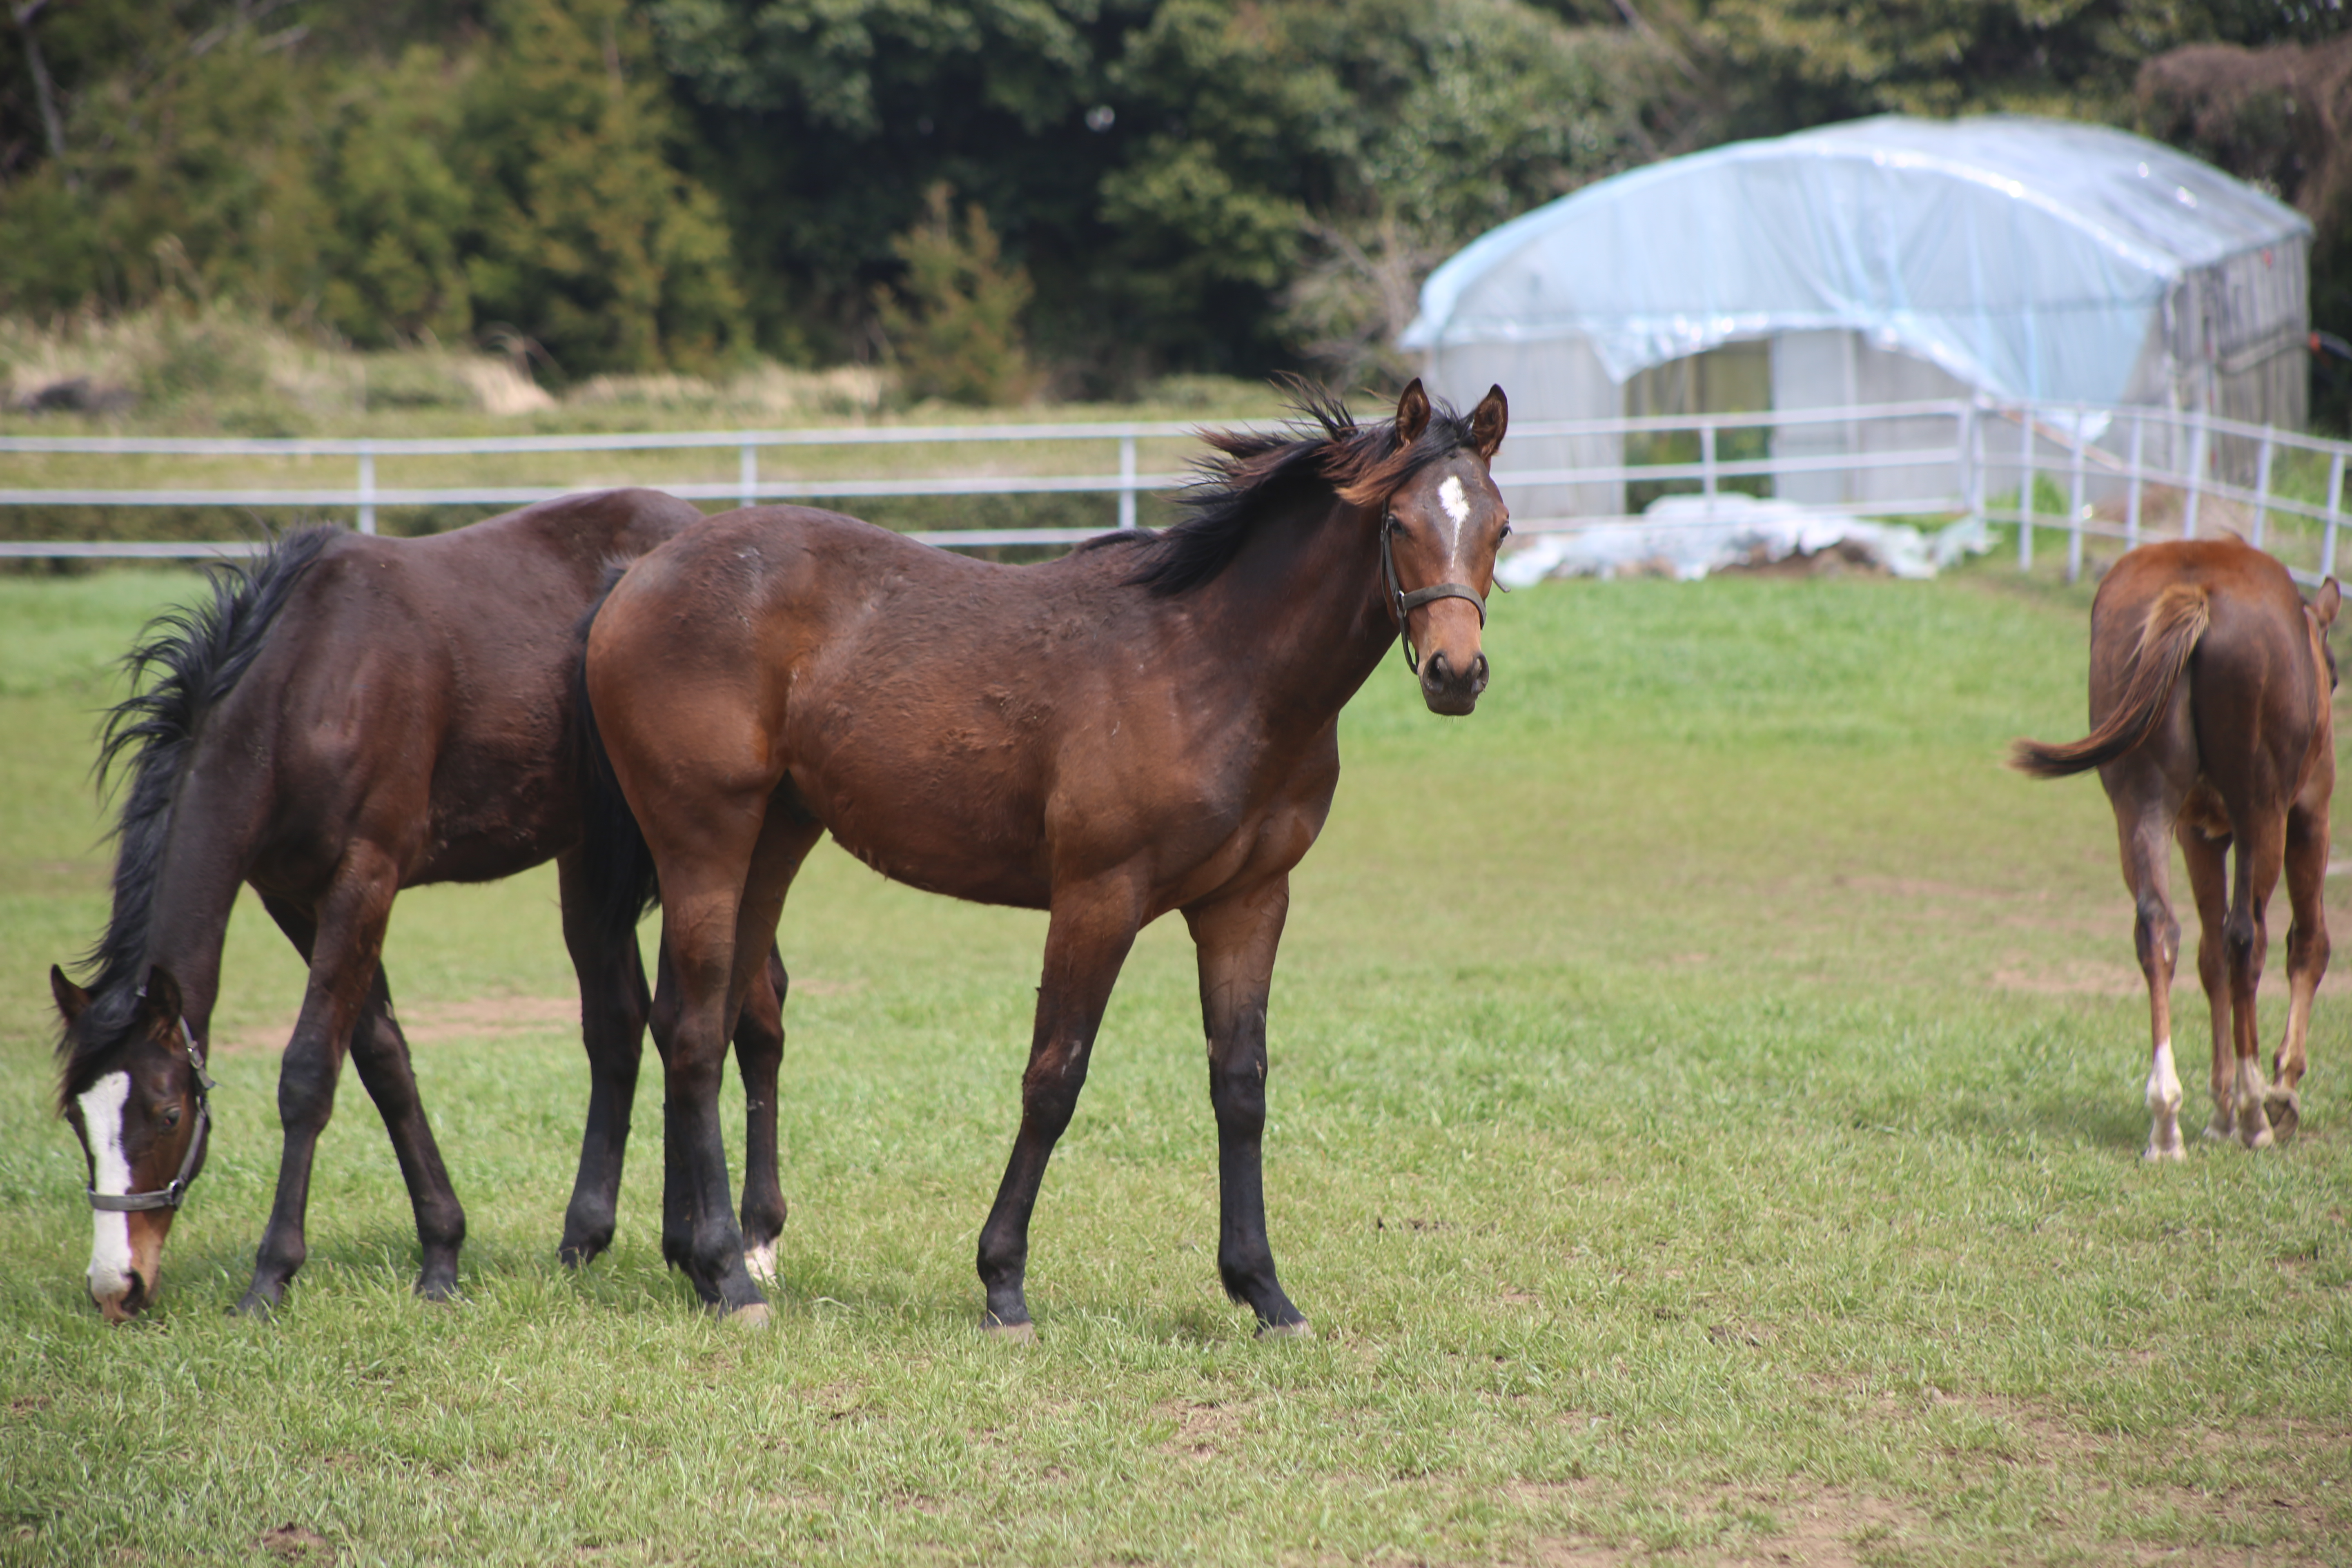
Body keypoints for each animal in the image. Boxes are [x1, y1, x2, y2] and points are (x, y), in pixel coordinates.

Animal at [48, 493, 790, 1326]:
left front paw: (271, 1276)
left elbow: (309, 1072)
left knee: (751, 1014)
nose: (118, 1287)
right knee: (624, 1023)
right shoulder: (295, 897)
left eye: (169, 1113)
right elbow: (383, 1059)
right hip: (594, 858)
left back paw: (751, 1239)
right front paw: (441, 1255)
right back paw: (599, 1238)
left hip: (701, 851)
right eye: (77, 1118)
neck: (308, 682)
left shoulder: (365, 877)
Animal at [578, 376, 1515, 1326]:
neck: (1214, 666)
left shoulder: (1249, 900)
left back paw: (703, 1260)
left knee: (712, 1017)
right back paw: (727, 1274)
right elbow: (1055, 1077)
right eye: (1396, 523)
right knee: (696, 1030)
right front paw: (1004, 1283)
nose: (1455, 674)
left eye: (1501, 528)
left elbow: (1241, 1085)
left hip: (774, 842)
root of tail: (637, 577)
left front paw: (1264, 1293)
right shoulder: (1100, 896)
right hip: (705, 841)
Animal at [2013, 533, 2342, 1161]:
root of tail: (2195, 589)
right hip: (2262, 812)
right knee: (2247, 937)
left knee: (2160, 929)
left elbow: (2208, 960)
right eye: (2335, 677)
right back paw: (2253, 1111)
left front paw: (2219, 1109)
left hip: (2142, 803)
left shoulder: (2198, 832)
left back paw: (2167, 1117)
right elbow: (2308, 944)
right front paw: (2279, 1091)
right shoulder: (2309, 814)